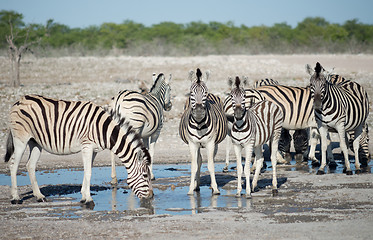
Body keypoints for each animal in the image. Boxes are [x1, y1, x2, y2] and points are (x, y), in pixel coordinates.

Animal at [4, 94, 153, 205]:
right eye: (145, 176)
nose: (152, 197)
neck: (103, 129)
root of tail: (19, 100)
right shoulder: (87, 146)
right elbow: (88, 172)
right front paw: (88, 199)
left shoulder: (94, 150)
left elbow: (88, 171)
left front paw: (83, 196)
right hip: (21, 139)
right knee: (13, 165)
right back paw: (16, 198)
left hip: (35, 142)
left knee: (30, 165)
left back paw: (39, 196)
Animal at [178, 67, 227, 195]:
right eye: (191, 93)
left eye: (205, 93)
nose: (199, 111)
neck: (199, 124)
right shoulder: (192, 144)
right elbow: (194, 166)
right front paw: (191, 188)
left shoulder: (210, 143)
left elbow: (211, 165)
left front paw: (215, 188)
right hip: (198, 145)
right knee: (199, 161)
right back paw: (197, 185)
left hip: (215, 144)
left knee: (210, 159)